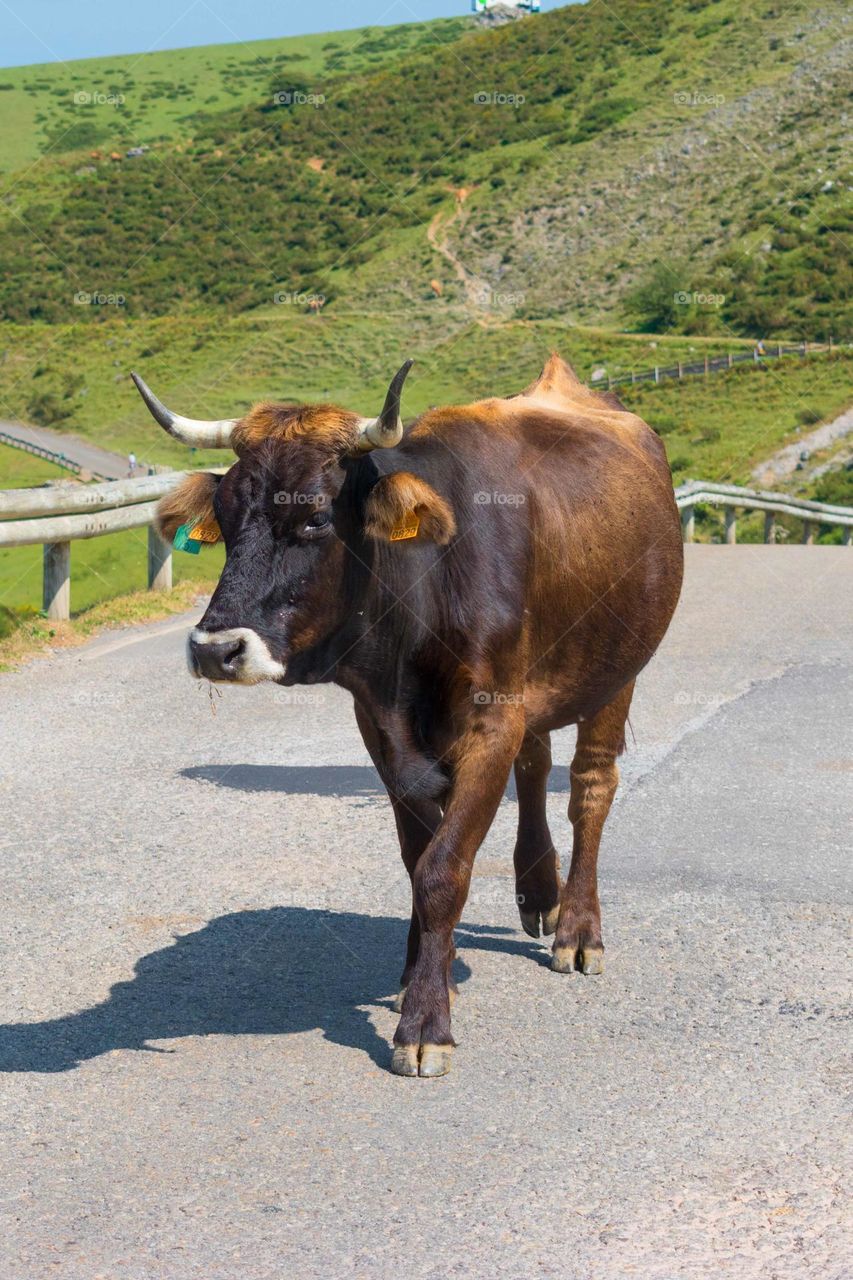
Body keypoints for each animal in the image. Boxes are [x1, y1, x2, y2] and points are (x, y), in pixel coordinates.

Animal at [131, 355, 684, 1077]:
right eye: (223, 516)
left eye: (314, 518)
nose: (214, 649)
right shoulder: (382, 727)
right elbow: (416, 856)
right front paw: (425, 972)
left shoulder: (490, 724)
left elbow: (443, 870)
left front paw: (426, 1023)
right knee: (536, 765)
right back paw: (539, 892)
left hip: (618, 671)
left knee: (590, 787)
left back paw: (578, 927)